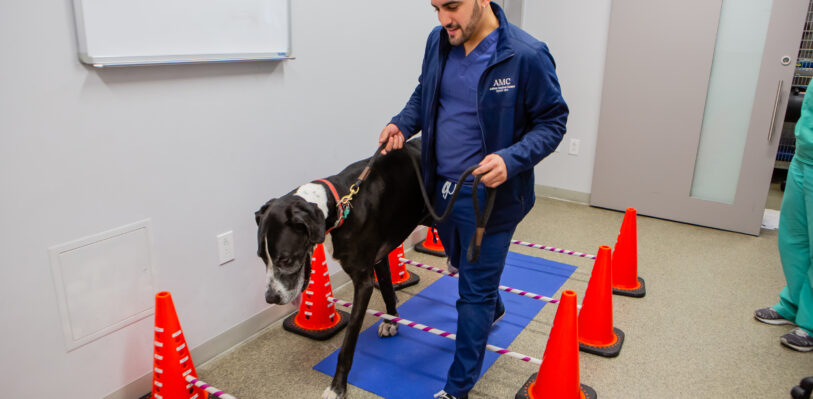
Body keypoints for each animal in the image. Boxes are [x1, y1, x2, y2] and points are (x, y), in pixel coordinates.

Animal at [255, 139, 428, 398]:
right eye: (261, 257)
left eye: (284, 259)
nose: (271, 298)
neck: (339, 206)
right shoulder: (379, 258)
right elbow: (388, 291)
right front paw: (391, 321)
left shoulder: (363, 284)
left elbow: (348, 344)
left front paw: (337, 387)